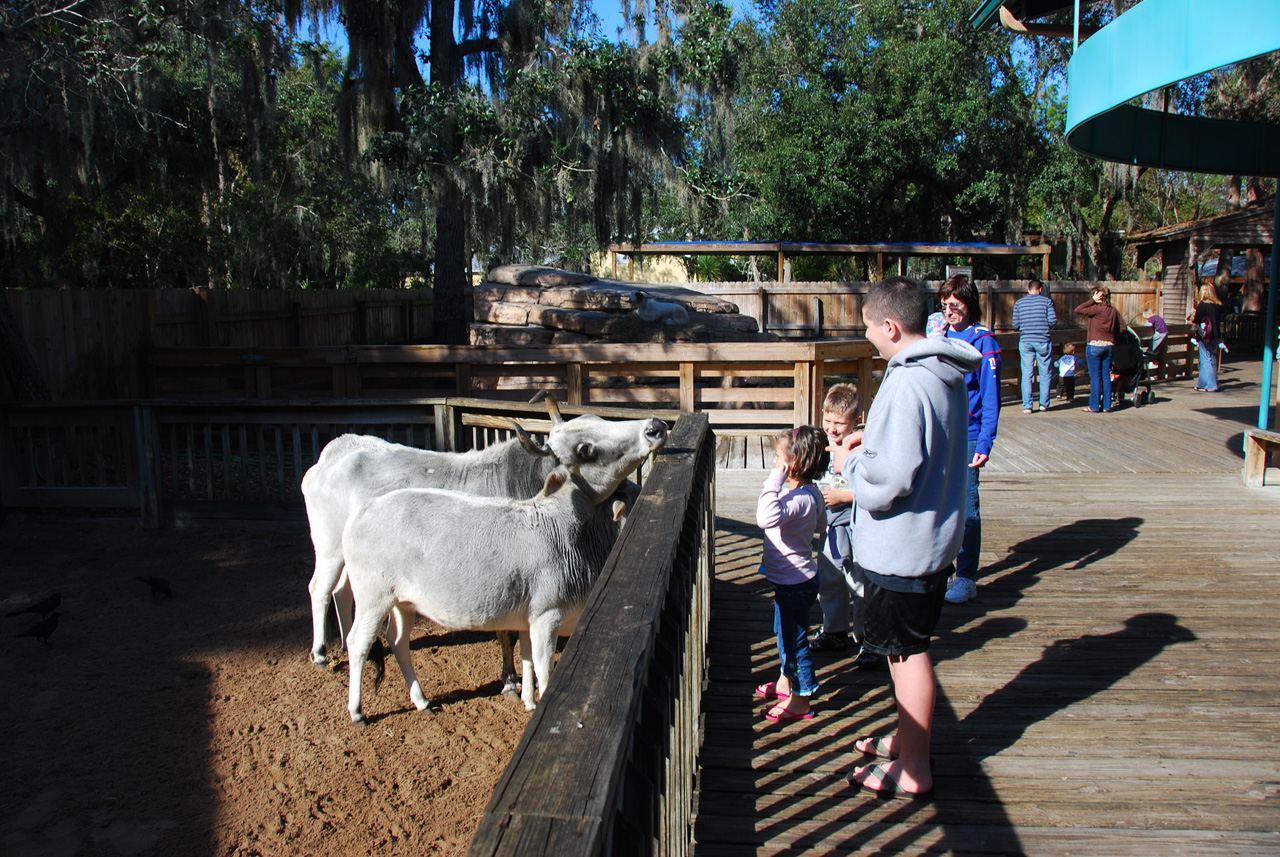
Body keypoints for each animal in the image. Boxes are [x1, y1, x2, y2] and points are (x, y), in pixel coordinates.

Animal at [300, 399, 670, 670]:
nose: (655, 427)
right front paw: (510, 680)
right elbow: (507, 634)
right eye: (585, 449)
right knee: (320, 589)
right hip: (329, 550)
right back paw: (320, 652)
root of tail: (330, 456)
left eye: (598, 419)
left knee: (342, 592)